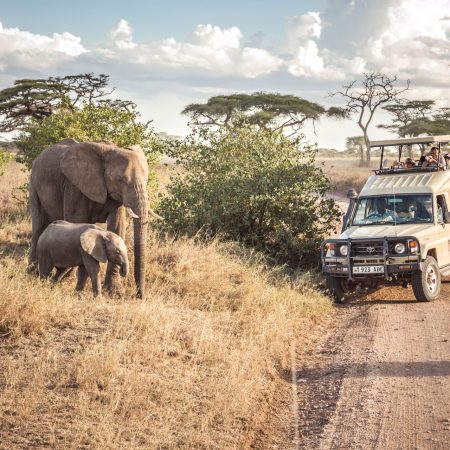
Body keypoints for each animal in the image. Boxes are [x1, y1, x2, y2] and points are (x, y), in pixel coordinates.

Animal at [28, 139, 158, 298]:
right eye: (119, 180)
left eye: (147, 180)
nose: (138, 296)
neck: (109, 150)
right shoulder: (74, 186)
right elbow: (77, 220)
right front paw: (67, 280)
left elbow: (117, 227)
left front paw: (114, 290)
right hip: (33, 184)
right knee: (38, 226)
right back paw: (32, 274)